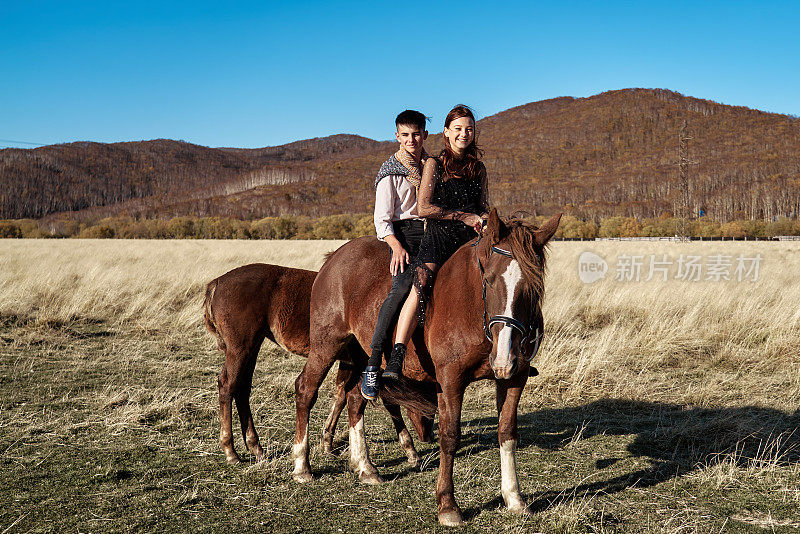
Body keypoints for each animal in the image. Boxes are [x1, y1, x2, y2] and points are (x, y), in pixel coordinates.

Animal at [203, 266, 434, 466]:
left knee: (242, 388)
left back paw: (256, 447)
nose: (428, 435)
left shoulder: (349, 361)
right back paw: (230, 450)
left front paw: (327, 443)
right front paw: (410, 450)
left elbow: (341, 395)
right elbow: (387, 403)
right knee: (227, 385)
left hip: (252, 346)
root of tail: (217, 282)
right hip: (240, 348)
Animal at [290, 210, 560, 528]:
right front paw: (448, 505)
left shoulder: (514, 378)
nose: (505, 355)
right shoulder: (450, 381)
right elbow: (450, 436)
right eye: (490, 279)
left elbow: (507, 432)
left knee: (355, 398)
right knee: (306, 390)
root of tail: (335, 256)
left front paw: (514, 498)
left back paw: (365, 466)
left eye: (534, 286)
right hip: (327, 344)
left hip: (363, 356)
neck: (473, 307)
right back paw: (302, 466)